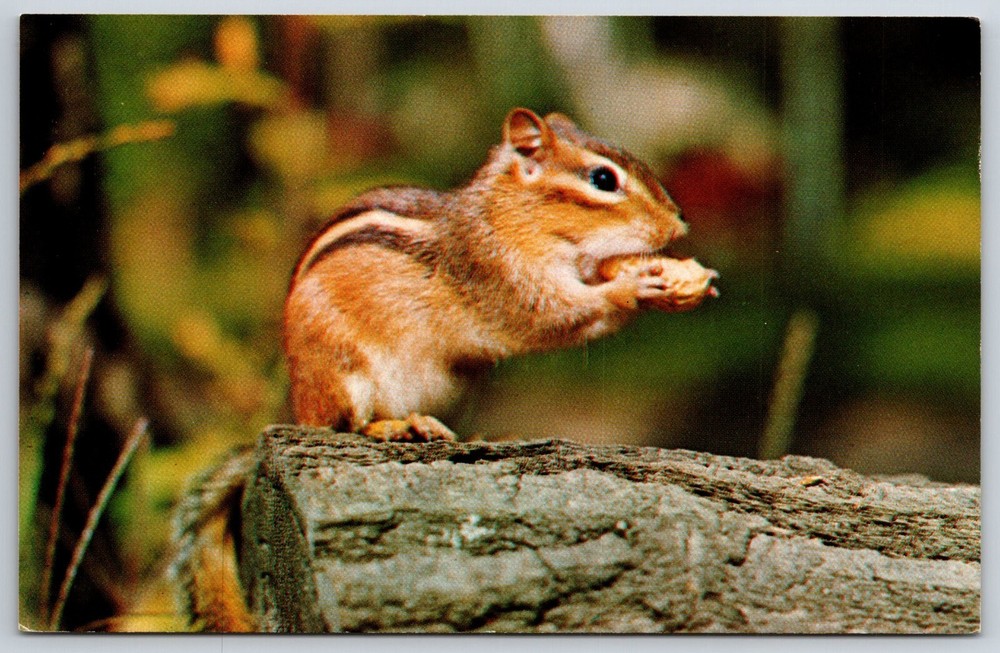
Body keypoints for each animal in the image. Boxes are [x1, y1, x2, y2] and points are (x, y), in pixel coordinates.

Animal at [172, 108, 717, 631]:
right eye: (603, 179)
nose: (679, 223)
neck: (507, 217)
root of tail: (299, 407)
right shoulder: (500, 275)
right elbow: (555, 316)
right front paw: (636, 286)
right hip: (342, 371)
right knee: (344, 424)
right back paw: (394, 426)